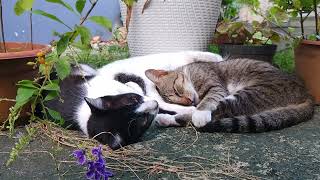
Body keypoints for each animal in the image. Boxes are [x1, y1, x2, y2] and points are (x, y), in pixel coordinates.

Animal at [146, 58, 316, 132]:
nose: (188, 102)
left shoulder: (216, 86)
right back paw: (164, 118)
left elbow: (207, 101)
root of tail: (306, 93)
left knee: (215, 111)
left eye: (176, 90)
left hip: (248, 94)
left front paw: (200, 112)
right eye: (177, 101)